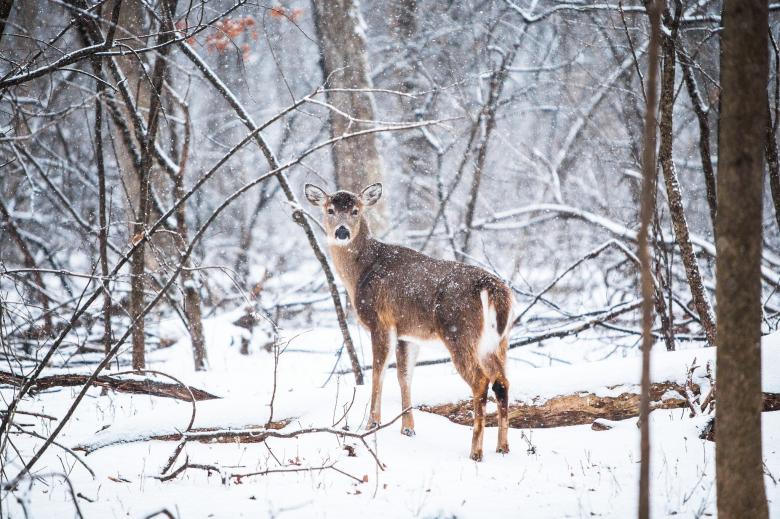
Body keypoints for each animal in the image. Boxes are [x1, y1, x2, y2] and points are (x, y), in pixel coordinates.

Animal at [304, 182, 513, 461]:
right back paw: (503, 447)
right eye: (330, 209)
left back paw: (475, 452)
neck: (360, 272)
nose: (341, 231)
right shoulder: (407, 333)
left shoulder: (380, 321)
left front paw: (372, 424)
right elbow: (404, 376)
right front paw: (408, 429)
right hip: (498, 341)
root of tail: (493, 289)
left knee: (480, 381)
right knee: (502, 382)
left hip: (459, 332)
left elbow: (378, 373)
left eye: (356, 210)